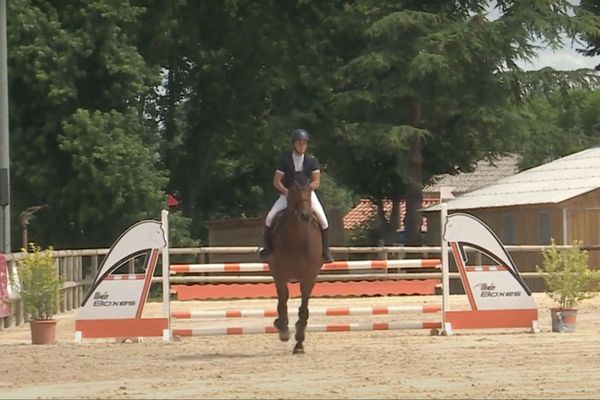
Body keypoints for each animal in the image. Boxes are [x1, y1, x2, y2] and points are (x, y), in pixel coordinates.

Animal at [268, 174, 324, 354]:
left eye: (309, 190)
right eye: (292, 190)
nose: (305, 215)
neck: (298, 239)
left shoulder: (309, 276)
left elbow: (304, 305)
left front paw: (299, 340)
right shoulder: (279, 274)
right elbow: (283, 298)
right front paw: (283, 329)